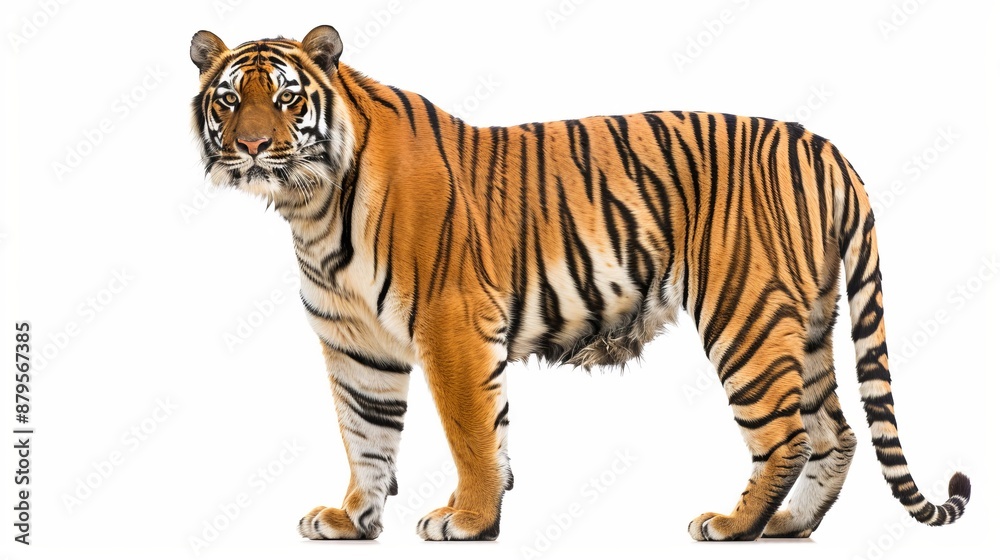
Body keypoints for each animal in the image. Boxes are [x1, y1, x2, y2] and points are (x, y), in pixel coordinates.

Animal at [189, 25, 971, 542]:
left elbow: (471, 432)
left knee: (788, 435)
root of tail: (824, 144)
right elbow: (367, 432)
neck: (312, 205)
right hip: (806, 320)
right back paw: (788, 525)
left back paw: (733, 524)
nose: (253, 146)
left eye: (287, 99)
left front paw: (468, 520)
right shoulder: (357, 343)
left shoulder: (451, 324)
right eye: (229, 101)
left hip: (745, 314)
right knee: (837, 432)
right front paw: (353, 517)